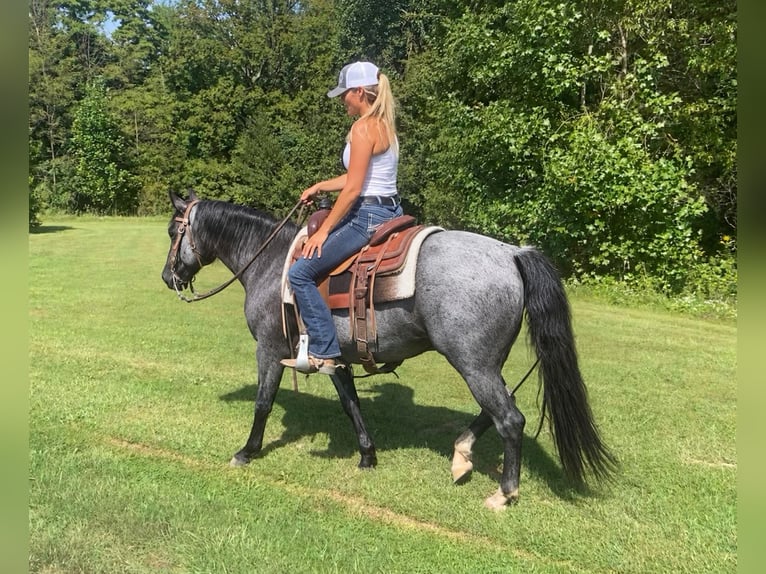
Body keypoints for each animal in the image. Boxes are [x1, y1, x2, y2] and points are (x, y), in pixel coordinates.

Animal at [161, 191, 616, 509]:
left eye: (172, 231)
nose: (168, 277)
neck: (271, 262)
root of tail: (512, 253)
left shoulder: (270, 349)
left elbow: (263, 403)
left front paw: (246, 452)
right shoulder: (337, 358)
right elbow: (351, 404)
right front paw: (367, 455)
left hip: (472, 363)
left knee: (511, 419)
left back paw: (503, 493)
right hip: (486, 363)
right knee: (499, 409)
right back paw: (461, 455)